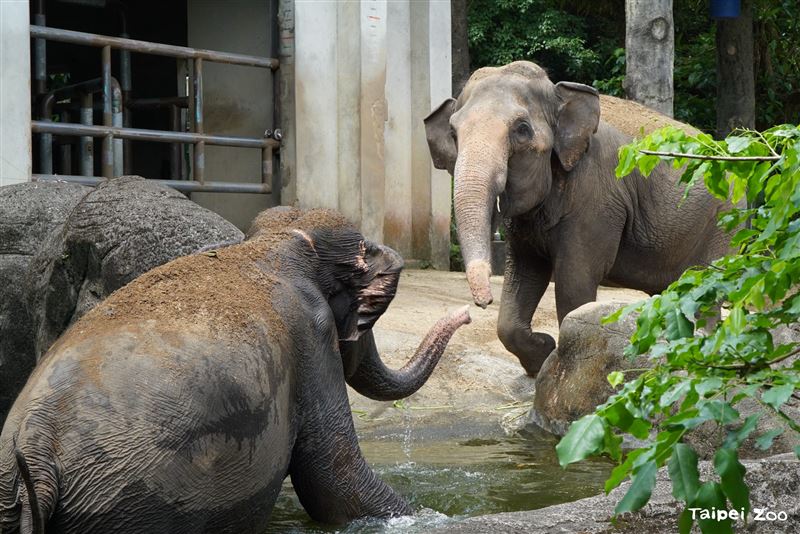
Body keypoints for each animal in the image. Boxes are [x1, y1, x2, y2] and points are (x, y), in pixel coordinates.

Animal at [0, 207, 471, 533]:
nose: (465, 313)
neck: (279, 242)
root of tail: (37, 449)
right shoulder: (312, 334)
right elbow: (334, 483)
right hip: (131, 500)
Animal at [424, 61, 731, 375]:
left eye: (522, 130)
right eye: (453, 133)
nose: (482, 303)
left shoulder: (597, 199)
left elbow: (574, 282)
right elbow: (523, 273)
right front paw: (542, 355)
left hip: (722, 222)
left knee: (704, 290)